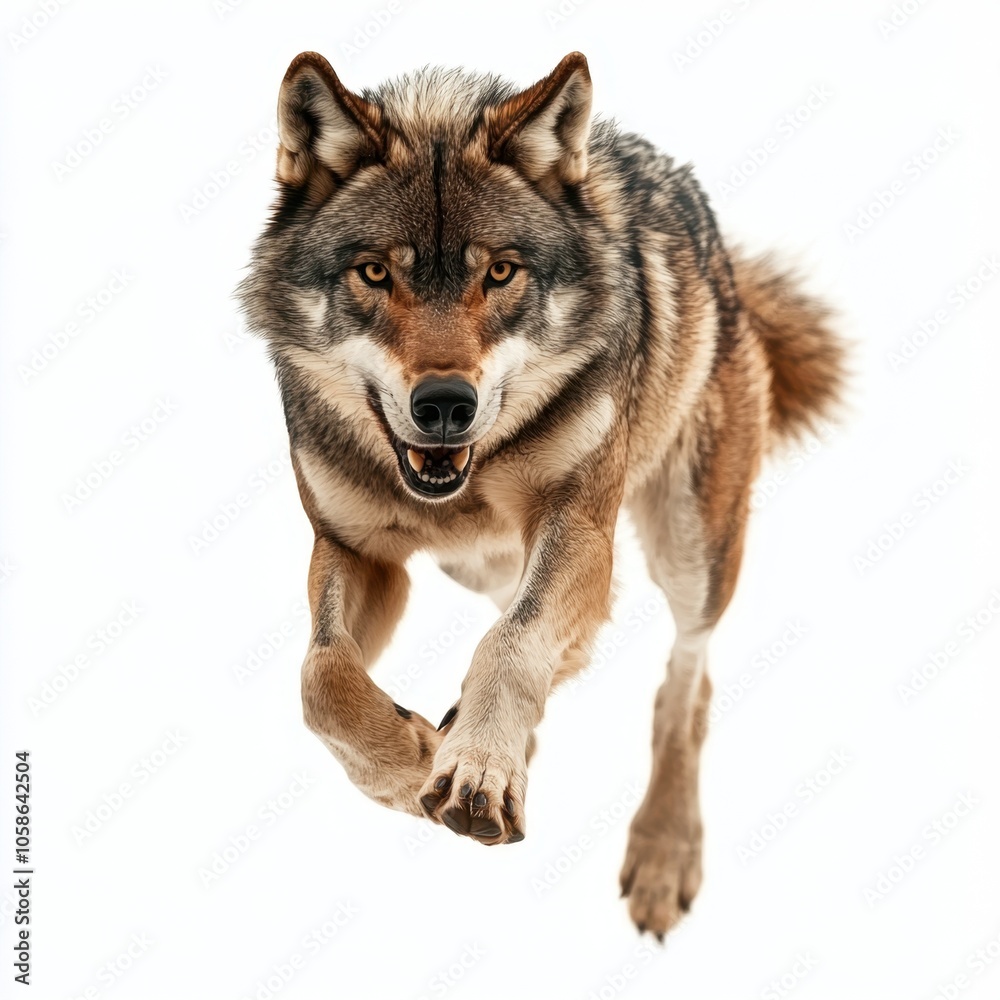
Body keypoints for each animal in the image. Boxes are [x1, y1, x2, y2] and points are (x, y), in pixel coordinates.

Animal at [237, 50, 845, 940]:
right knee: (565, 631)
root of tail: (725, 262)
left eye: (500, 272)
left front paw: (475, 767)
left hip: (690, 549)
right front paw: (413, 765)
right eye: (376, 273)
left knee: (684, 679)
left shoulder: (578, 523)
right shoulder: (354, 550)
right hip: (482, 566)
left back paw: (661, 849)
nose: (444, 404)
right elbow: (322, 679)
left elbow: (514, 641)